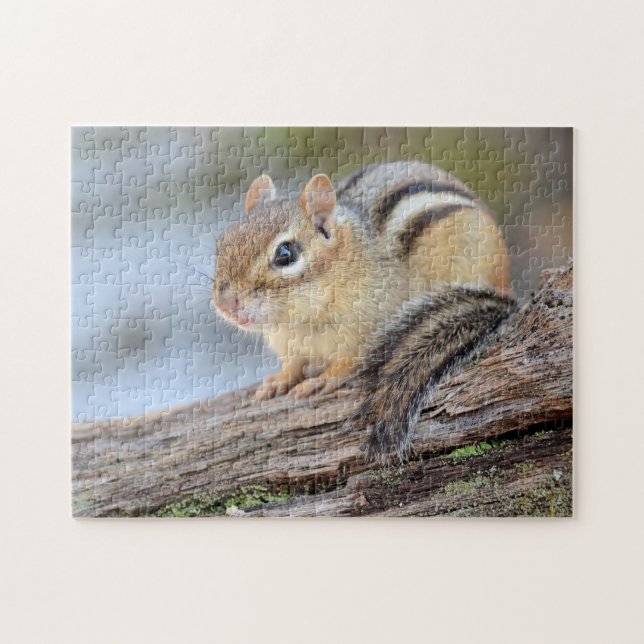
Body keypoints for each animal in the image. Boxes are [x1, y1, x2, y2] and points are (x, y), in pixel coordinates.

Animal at [213, 161, 514, 462]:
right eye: (222, 243)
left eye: (285, 253)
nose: (226, 303)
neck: (301, 320)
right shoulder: (288, 342)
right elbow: (294, 365)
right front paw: (278, 381)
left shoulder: (367, 328)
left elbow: (347, 363)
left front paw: (323, 380)